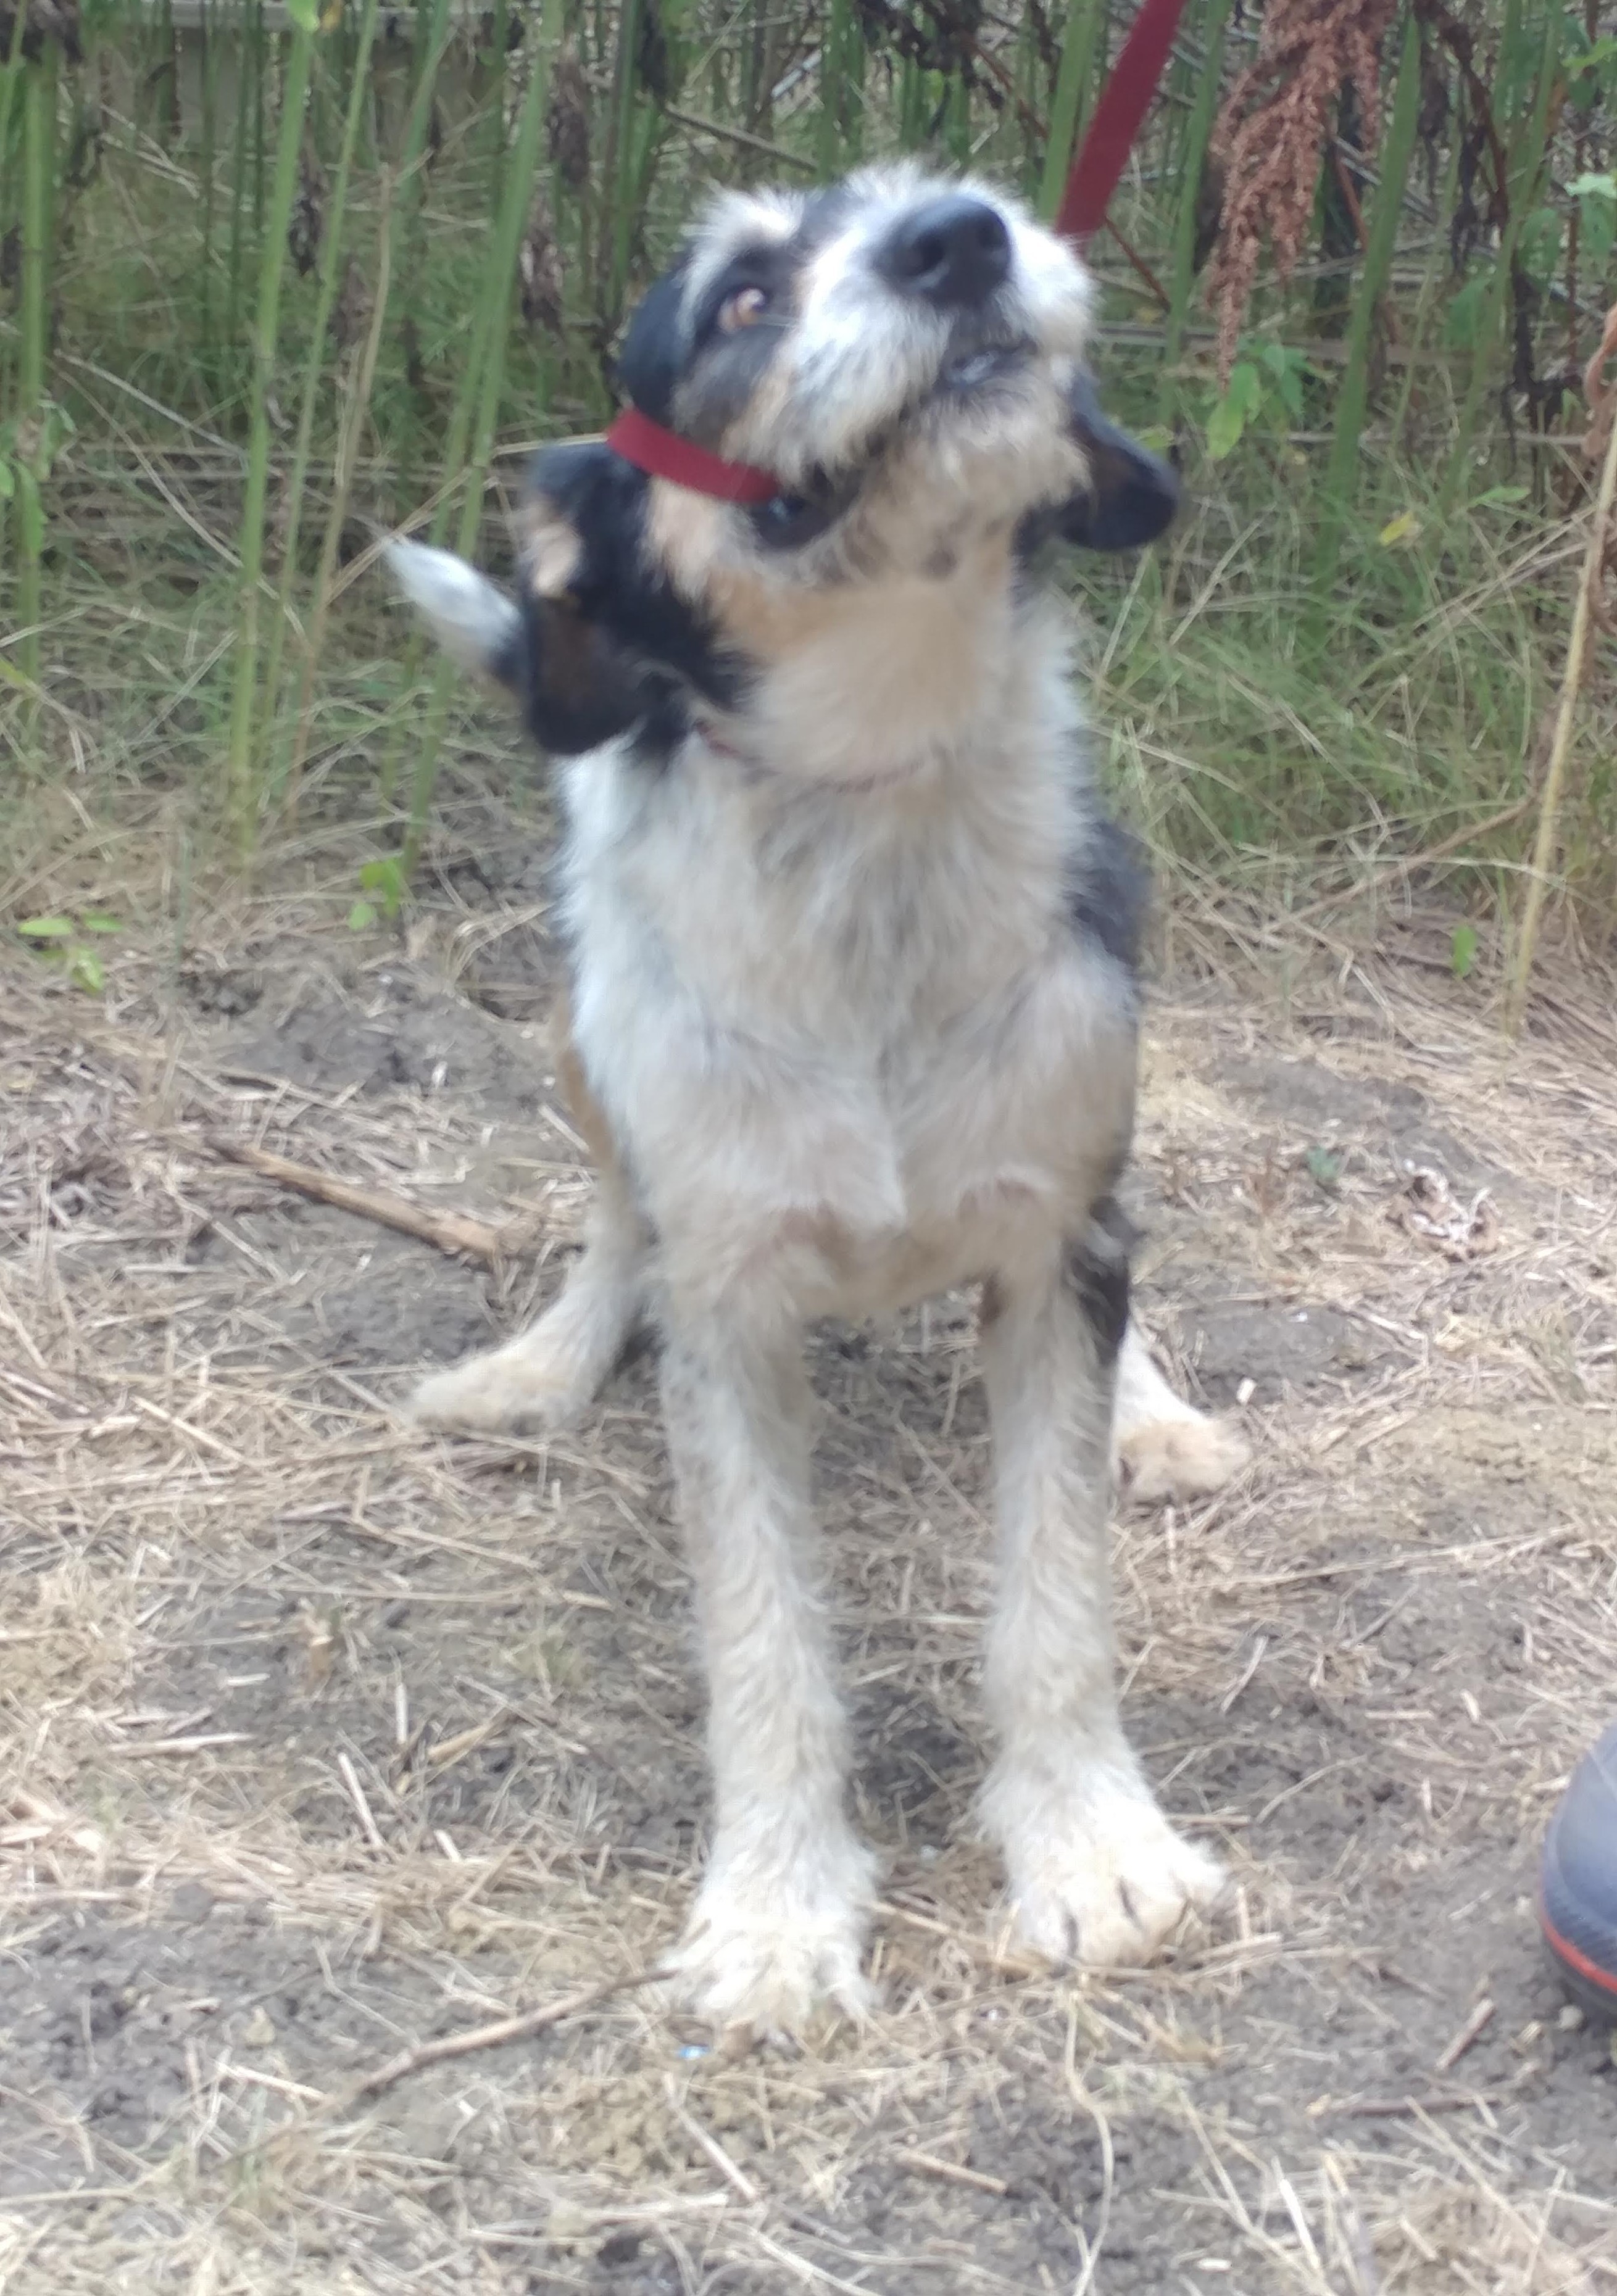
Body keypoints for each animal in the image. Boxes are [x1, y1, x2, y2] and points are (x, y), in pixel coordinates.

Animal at [388, 162, 1249, 2029]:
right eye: (735, 298)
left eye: (953, 185)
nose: (961, 237)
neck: (877, 796)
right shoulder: (729, 1302)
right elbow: (762, 1636)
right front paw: (776, 1916)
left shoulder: (1051, 1247)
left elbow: (1056, 1595)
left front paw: (1091, 1849)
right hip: (583, 1030)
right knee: (611, 1217)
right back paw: (540, 1362)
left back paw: (1155, 1408)